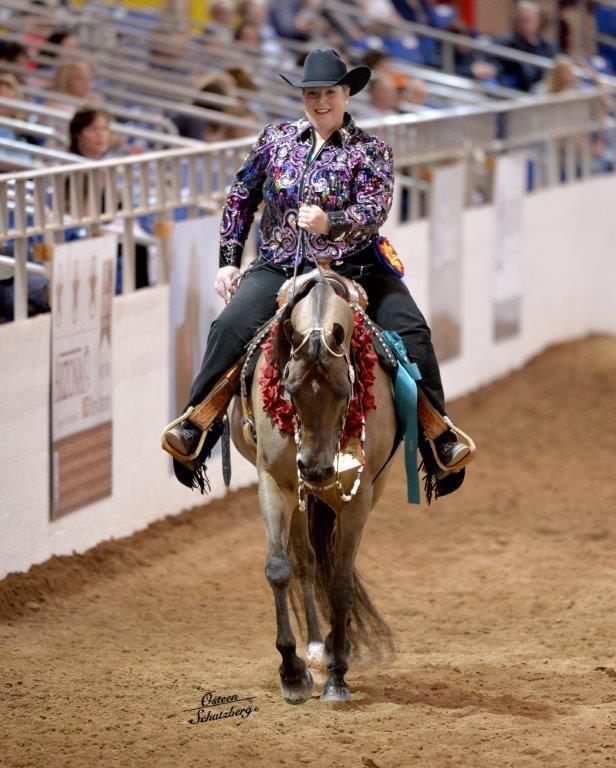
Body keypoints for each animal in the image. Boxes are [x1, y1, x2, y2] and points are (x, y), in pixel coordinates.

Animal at [230, 274, 398, 704]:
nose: (317, 468)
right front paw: (291, 672)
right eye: (288, 387)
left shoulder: (360, 497)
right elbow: (279, 568)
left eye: (345, 389)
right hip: (300, 497)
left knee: (334, 565)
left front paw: (337, 675)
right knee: (305, 561)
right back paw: (316, 645)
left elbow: (340, 583)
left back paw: (335, 649)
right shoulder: (274, 483)